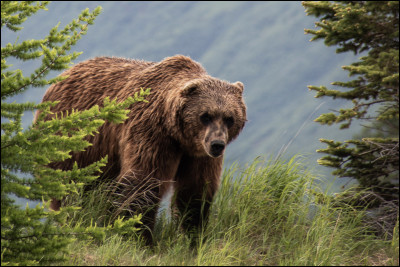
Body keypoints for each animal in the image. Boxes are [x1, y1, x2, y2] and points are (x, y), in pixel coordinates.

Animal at [35, 55, 247, 243]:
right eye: (205, 116)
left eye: (229, 118)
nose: (217, 144)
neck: (177, 134)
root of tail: (61, 76)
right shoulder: (151, 133)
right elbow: (143, 182)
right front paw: (138, 237)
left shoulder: (197, 154)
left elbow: (195, 190)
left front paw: (191, 235)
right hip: (73, 143)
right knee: (71, 189)